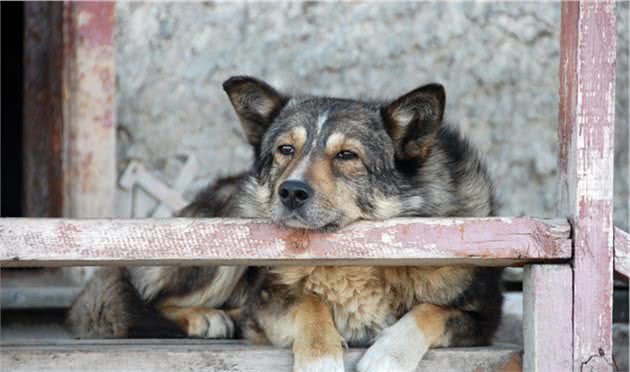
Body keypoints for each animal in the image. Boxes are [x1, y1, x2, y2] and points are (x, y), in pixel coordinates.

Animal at [69, 76, 504, 372]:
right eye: (286, 149)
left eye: (347, 155)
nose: (291, 192)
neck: (355, 258)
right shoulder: (265, 296)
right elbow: (309, 303)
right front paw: (320, 359)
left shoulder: (484, 317)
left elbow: (430, 310)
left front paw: (388, 356)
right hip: (227, 235)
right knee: (149, 299)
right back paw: (207, 317)